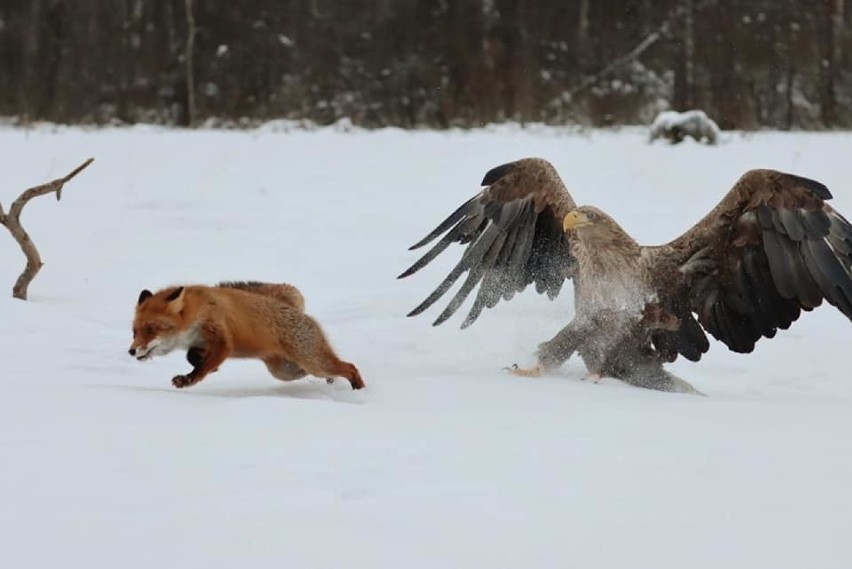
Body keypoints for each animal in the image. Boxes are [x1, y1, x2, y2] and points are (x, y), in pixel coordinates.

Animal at [128, 280, 364, 388]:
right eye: (135, 331)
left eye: (151, 329)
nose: (131, 351)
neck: (199, 310)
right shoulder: (200, 342)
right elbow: (192, 356)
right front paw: (205, 368)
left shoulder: (222, 340)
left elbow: (203, 367)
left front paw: (189, 379)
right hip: (287, 371)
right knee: (329, 372)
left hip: (313, 362)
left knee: (350, 367)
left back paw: (359, 391)